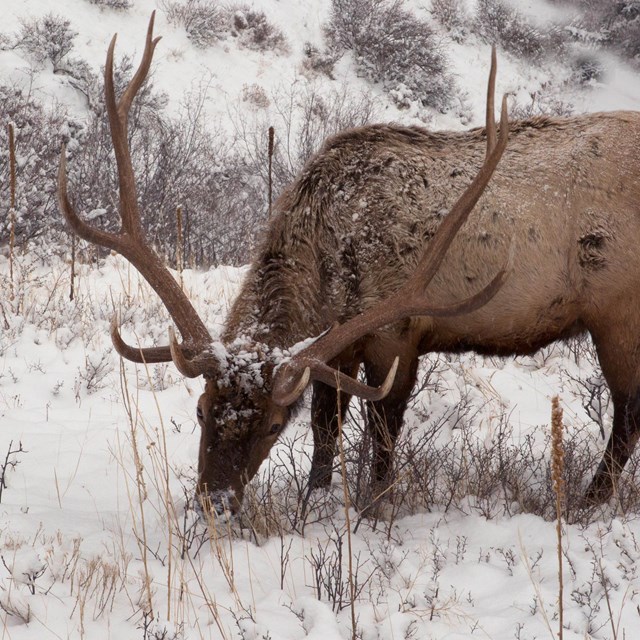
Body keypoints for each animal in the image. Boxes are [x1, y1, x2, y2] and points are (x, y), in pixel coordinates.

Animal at [60, 15, 640, 516]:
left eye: (273, 425)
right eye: (201, 409)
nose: (215, 504)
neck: (329, 275)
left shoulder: (396, 332)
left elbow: (381, 433)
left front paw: (373, 508)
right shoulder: (336, 346)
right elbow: (325, 428)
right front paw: (314, 500)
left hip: (618, 311)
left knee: (629, 411)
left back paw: (586, 504)